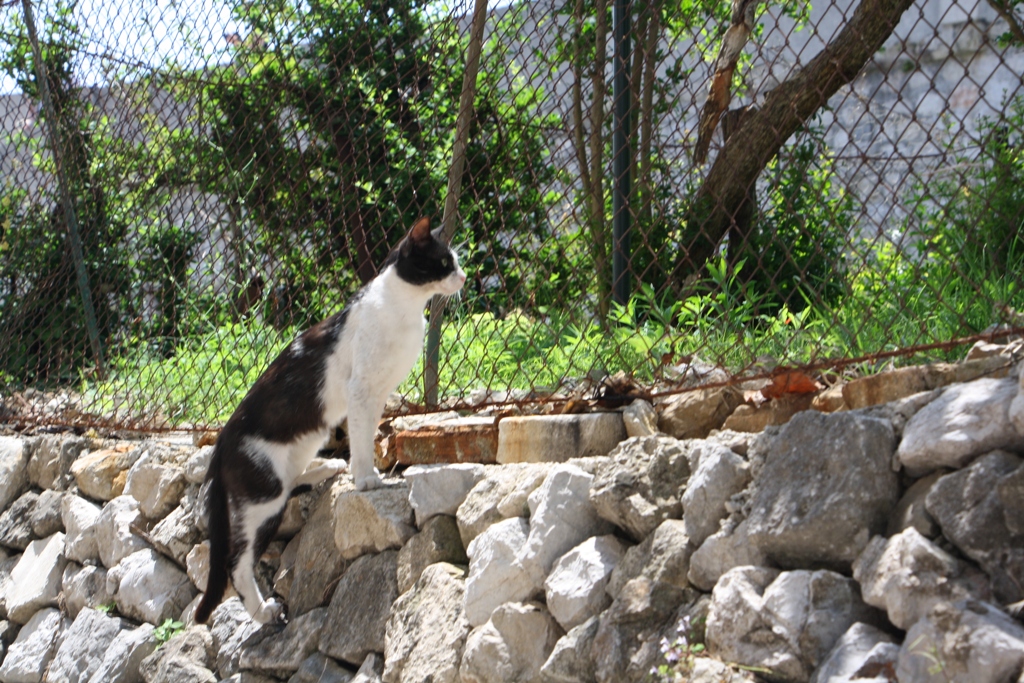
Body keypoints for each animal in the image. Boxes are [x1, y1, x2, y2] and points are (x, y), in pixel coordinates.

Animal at [193, 219, 466, 626]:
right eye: (445, 262)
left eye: (456, 262)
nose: (463, 277)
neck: (403, 308)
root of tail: (221, 443)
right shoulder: (361, 389)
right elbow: (362, 437)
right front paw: (366, 478)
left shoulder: (377, 394)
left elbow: (368, 432)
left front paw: (362, 469)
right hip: (263, 500)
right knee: (236, 563)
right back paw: (263, 611)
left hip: (302, 447)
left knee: (292, 481)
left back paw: (327, 467)